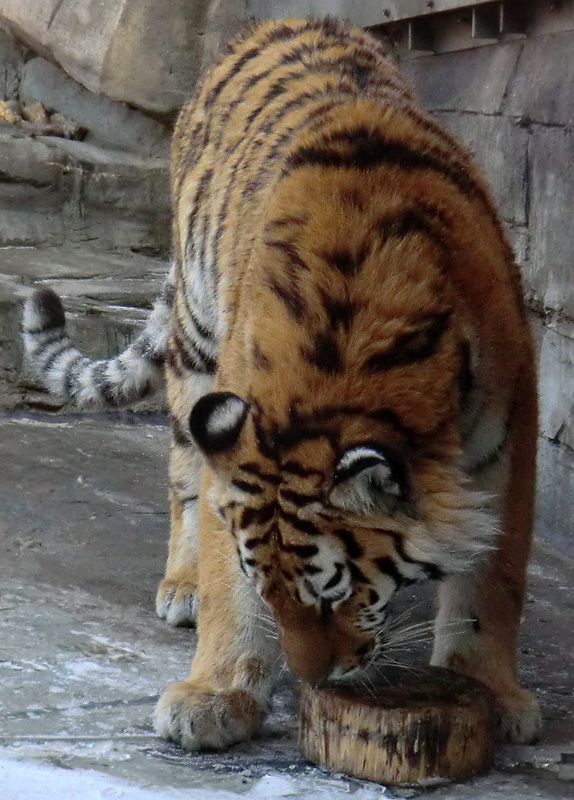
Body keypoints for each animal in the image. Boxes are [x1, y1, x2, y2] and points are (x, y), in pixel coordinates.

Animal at [22, 15, 544, 752]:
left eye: (334, 594)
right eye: (264, 587)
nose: (314, 680)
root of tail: (276, 21)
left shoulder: (507, 428)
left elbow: (493, 583)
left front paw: (491, 691)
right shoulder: (234, 443)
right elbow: (223, 572)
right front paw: (214, 694)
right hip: (195, 342)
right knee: (182, 476)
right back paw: (183, 585)